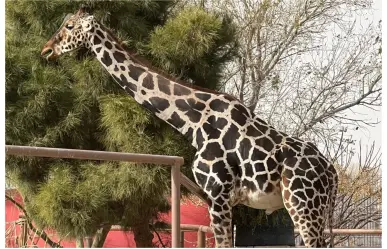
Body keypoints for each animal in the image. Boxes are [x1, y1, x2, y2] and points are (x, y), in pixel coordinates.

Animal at [41, 7, 338, 247]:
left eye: (69, 26)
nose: (46, 50)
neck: (194, 123)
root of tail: (332, 174)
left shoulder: (219, 196)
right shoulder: (216, 199)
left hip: (302, 205)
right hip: (316, 210)